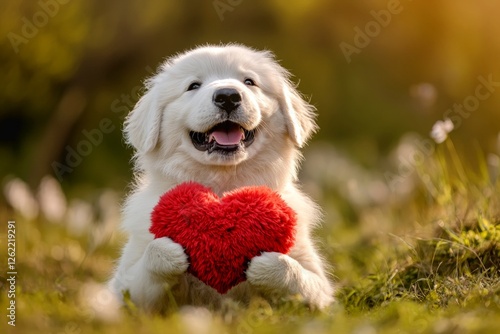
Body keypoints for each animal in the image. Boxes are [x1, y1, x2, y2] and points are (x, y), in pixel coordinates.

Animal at [111, 44, 334, 314]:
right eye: (193, 85)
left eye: (249, 82)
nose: (228, 96)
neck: (222, 186)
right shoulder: (124, 285)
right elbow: (147, 265)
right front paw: (172, 250)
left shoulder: (319, 286)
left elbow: (298, 274)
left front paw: (263, 263)